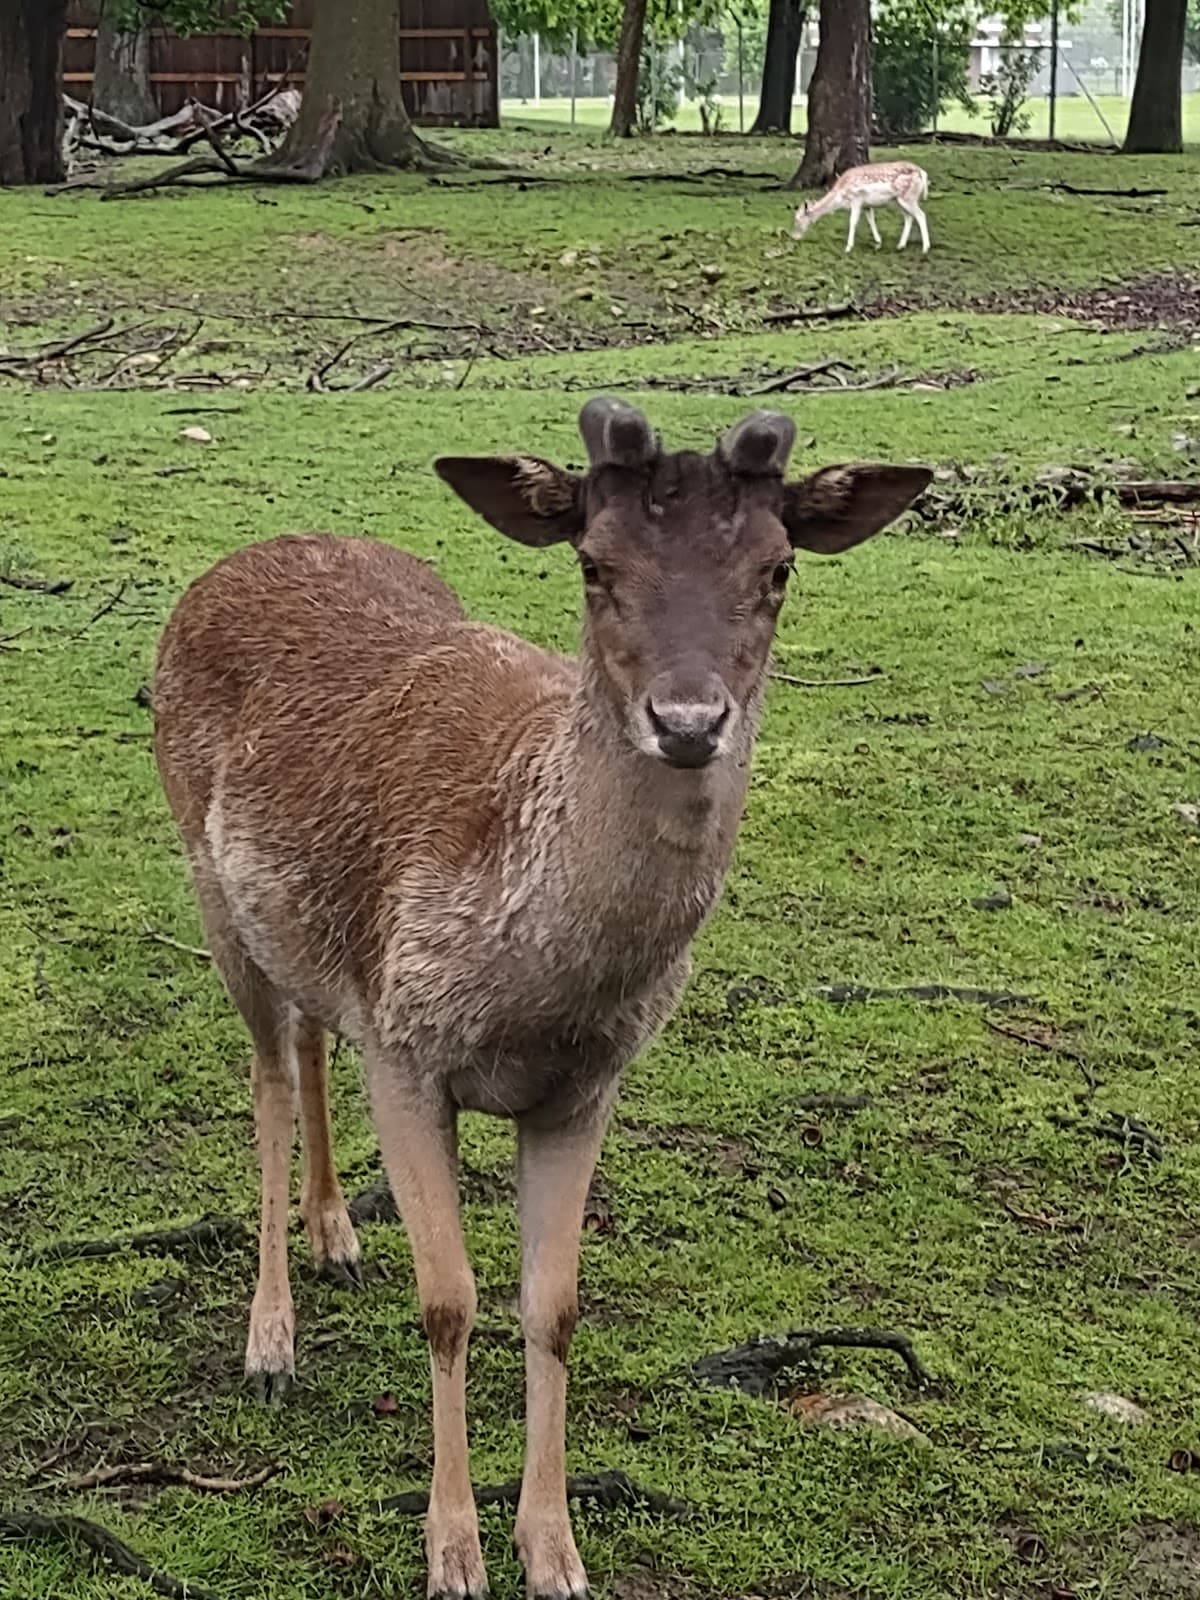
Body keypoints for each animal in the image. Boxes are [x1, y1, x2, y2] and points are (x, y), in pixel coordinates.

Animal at [152, 399, 930, 1600]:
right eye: (594, 562)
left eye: (780, 567)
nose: (689, 718)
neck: (540, 988)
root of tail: (238, 559)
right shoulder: (410, 1046)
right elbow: (450, 1300)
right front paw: (453, 1551)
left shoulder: (584, 1084)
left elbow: (553, 1306)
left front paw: (556, 1549)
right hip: (209, 886)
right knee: (272, 1072)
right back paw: (270, 1341)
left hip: (311, 935)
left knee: (316, 1036)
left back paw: (337, 1233)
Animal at [792, 161, 931, 254]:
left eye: (797, 219)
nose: (794, 237)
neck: (840, 196)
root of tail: (923, 173)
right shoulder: (866, 205)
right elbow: (871, 221)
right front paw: (878, 242)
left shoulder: (856, 200)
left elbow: (853, 222)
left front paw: (848, 248)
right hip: (899, 201)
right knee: (909, 217)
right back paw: (900, 245)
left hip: (908, 197)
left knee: (921, 215)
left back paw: (925, 248)